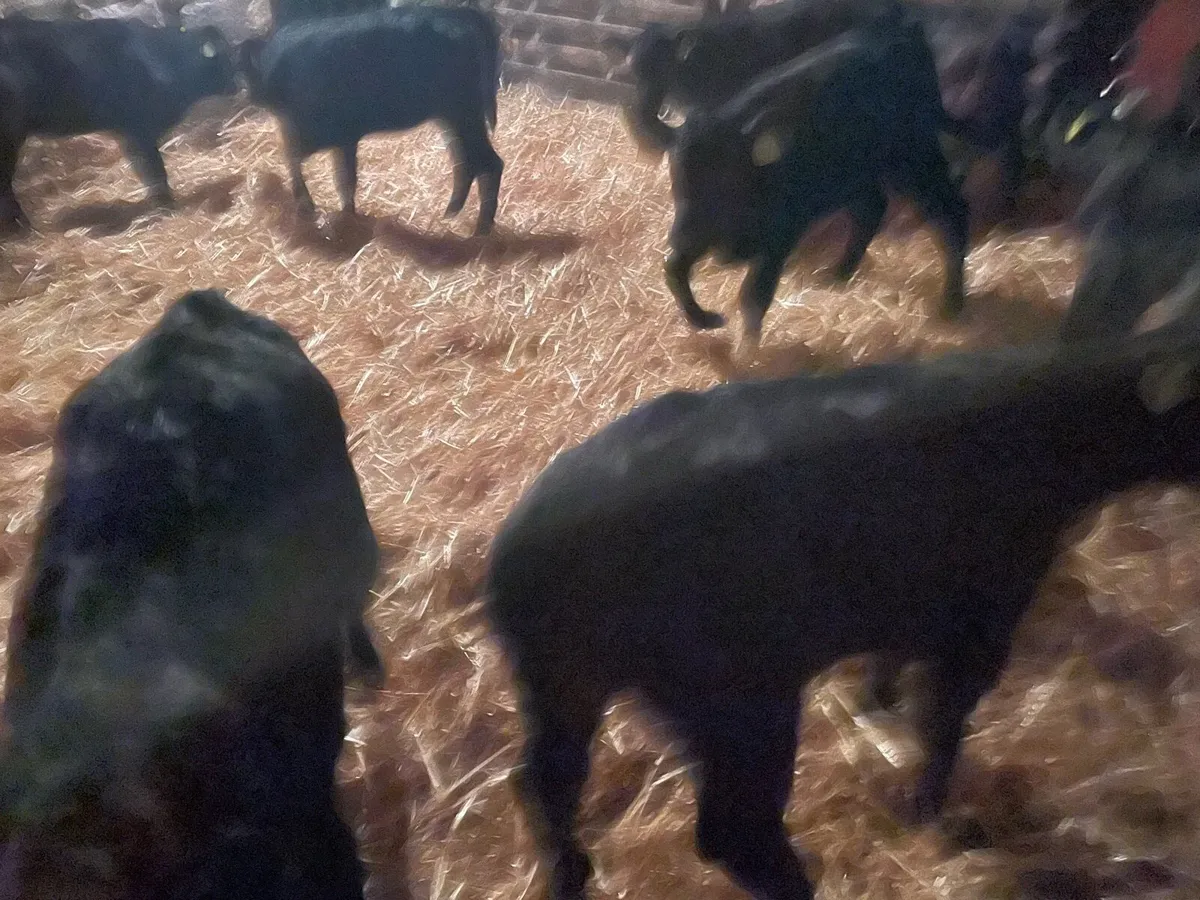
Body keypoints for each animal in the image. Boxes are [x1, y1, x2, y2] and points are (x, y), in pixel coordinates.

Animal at [0, 17, 238, 230]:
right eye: (226, 57)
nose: (237, 85)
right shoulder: (138, 130)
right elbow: (155, 171)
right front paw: (167, 206)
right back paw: (21, 227)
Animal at [239, 5, 503, 235]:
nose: (251, 96)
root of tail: (465, 16)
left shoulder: (317, 133)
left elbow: (297, 159)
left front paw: (310, 208)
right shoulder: (344, 137)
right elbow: (345, 177)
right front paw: (347, 214)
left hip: (464, 110)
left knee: (489, 163)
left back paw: (480, 231)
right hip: (452, 116)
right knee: (466, 161)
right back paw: (451, 214)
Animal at [486, 307, 1200, 900]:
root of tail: (524, 556)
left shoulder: (908, 597)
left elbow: (893, 667)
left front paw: (875, 708)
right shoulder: (980, 612)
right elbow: (944, 720)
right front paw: (929, 812)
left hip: (563, 683)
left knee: (546, 784)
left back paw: (570, 878)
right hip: (733, 697)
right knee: (732, 829)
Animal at [664, 18, 968, 347]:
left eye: (724, 176)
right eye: (679, 180)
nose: (677, 234)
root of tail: (903, 32)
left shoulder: (782, 231)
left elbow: (754, 295)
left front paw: (748, 348)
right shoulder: (700, 231)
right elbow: (674, 270)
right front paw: (705, 319)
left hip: (914, 156)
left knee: (952, 210)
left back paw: (952, 304)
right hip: (854, 173)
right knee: (872, 209)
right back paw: (837, 275)